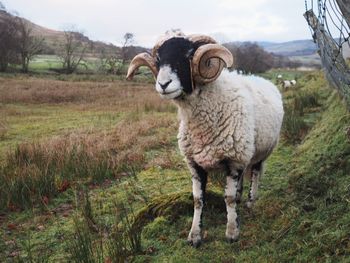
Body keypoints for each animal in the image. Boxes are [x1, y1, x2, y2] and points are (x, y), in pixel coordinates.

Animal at [126, 33, 284, 248]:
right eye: (158, 60)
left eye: (188, 55)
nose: (163, 85)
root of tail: (262, 80)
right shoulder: (195, 163)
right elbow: (198, 200)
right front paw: (195, 235)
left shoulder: (233, 160)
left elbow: (228, 198)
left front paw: (232, 232)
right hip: (245, 154)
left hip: (262, 150)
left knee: (256, 173)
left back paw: (251, 201)